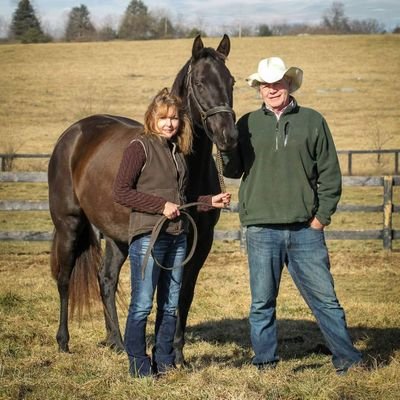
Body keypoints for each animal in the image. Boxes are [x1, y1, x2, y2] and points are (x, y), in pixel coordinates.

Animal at [49, 35, 238, 366]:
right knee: (64, 277)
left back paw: (117, 342)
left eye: (232, 82)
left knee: (106, 279)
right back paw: (64, 342)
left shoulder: (200, 242)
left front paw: (176, 355)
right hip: (68, 227)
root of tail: (72, 135)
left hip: (116, 236)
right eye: (200, 83)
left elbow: (182, 295)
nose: (228, 136)